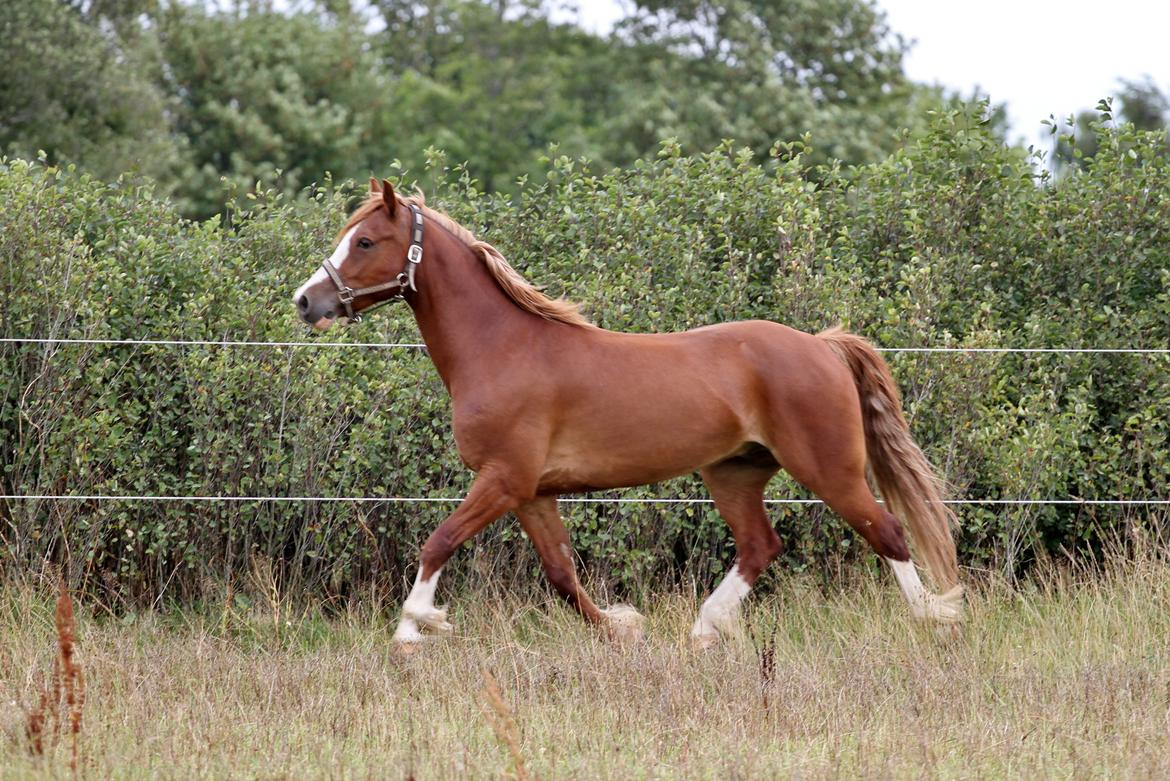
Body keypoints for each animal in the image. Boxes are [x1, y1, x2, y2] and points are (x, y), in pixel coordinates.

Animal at [292, 180, 959, 650]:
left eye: (365, 241)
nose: (305, 301)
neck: (501, 348)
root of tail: (822, 345)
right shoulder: (532, 492)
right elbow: (562, 576)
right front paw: (623, 627)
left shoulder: (503, 479)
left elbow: (439, 541)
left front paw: (413, 628)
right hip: (734, 472)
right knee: (760, 546)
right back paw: (705, 629)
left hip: (828, 468)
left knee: (887, 532)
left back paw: (937, 616)